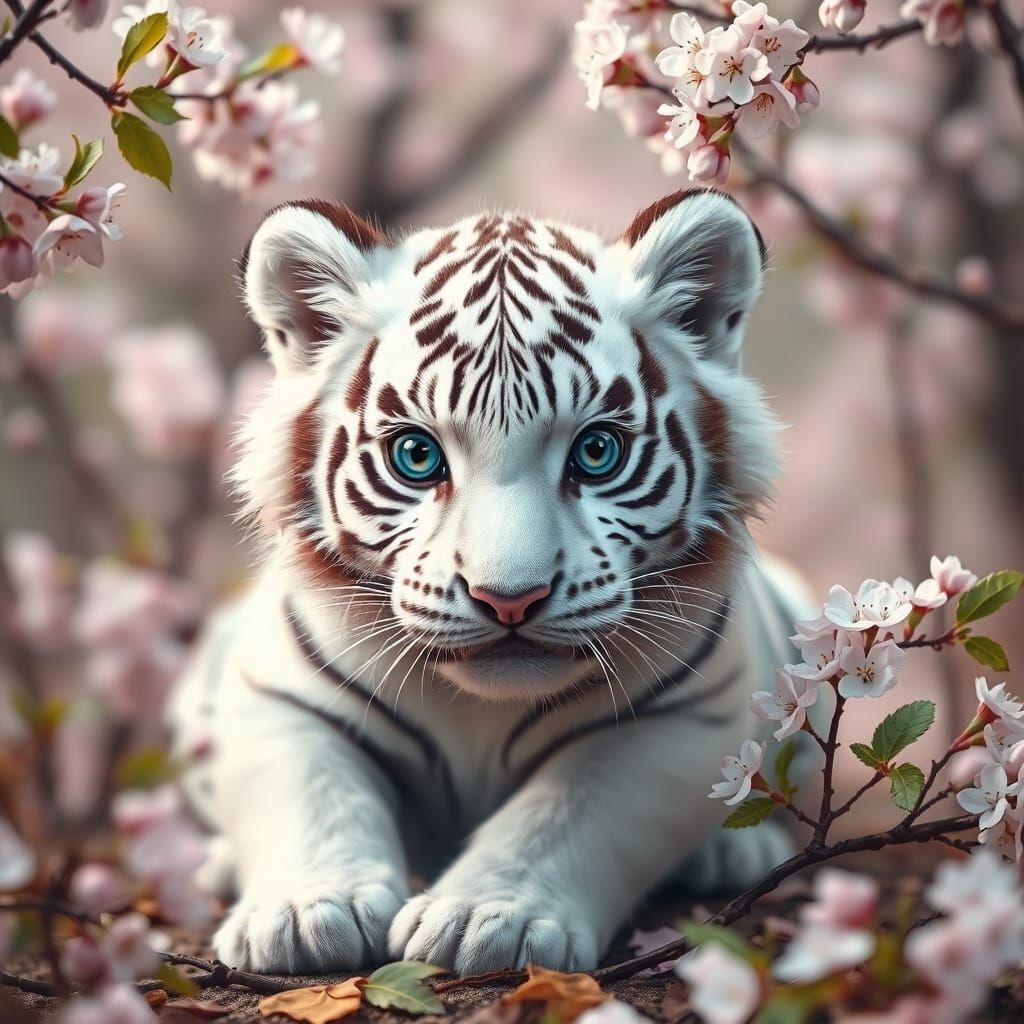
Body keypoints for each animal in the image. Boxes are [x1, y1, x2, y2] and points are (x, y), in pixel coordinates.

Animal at [167, 188, 816, 976]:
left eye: (597, 452)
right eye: (417, 456)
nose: (510, 598)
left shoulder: (683, 717)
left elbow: (567, 813)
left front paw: (487, 919)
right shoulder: (277, 695)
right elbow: (314, 793)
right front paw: (307, 913)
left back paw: (733, 852)